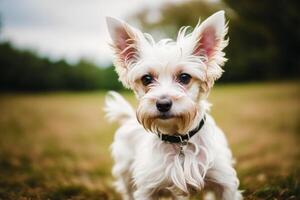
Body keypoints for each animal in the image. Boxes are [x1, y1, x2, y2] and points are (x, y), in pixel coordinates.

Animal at [104, 10, 243, 200]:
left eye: (184, 77)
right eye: (146, 79)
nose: (163, 104)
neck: (179, 140)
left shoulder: (224, 183)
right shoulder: (147, 188)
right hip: (125, 173)